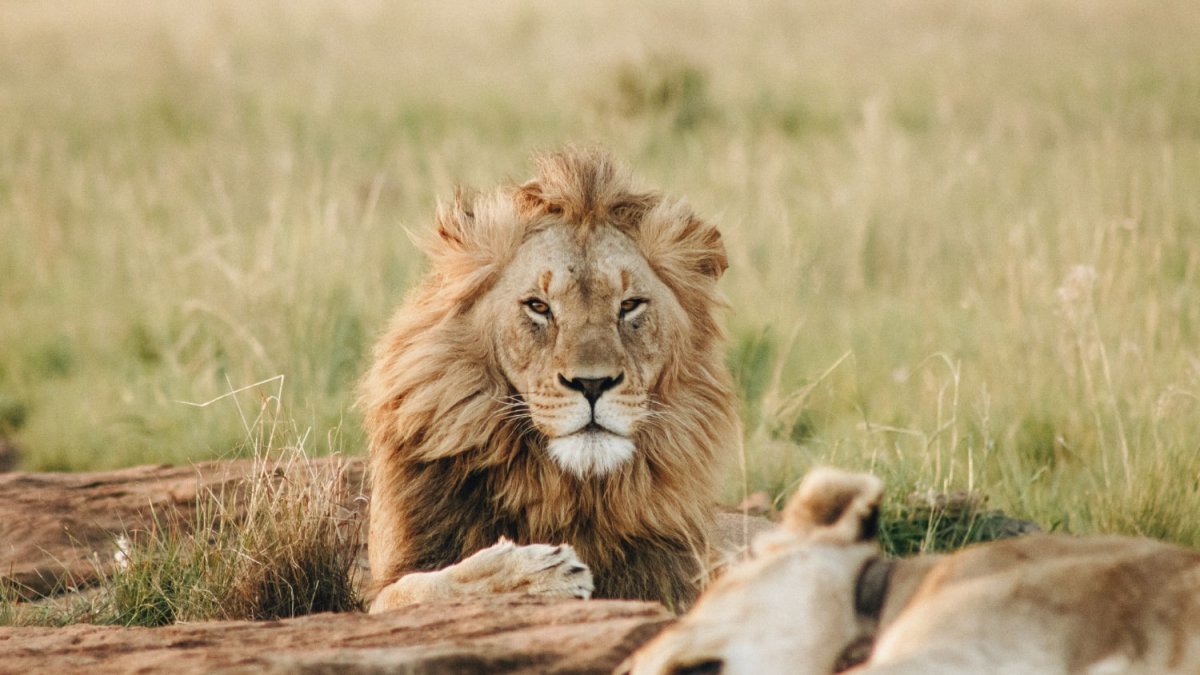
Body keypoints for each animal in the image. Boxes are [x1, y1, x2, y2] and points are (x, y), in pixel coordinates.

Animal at [359, 149, 747, 613]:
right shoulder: (389, 583)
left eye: (630, 305)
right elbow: (420, 588)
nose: (593, 384)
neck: (565, 491)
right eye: (538, 306)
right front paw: (534, 574)